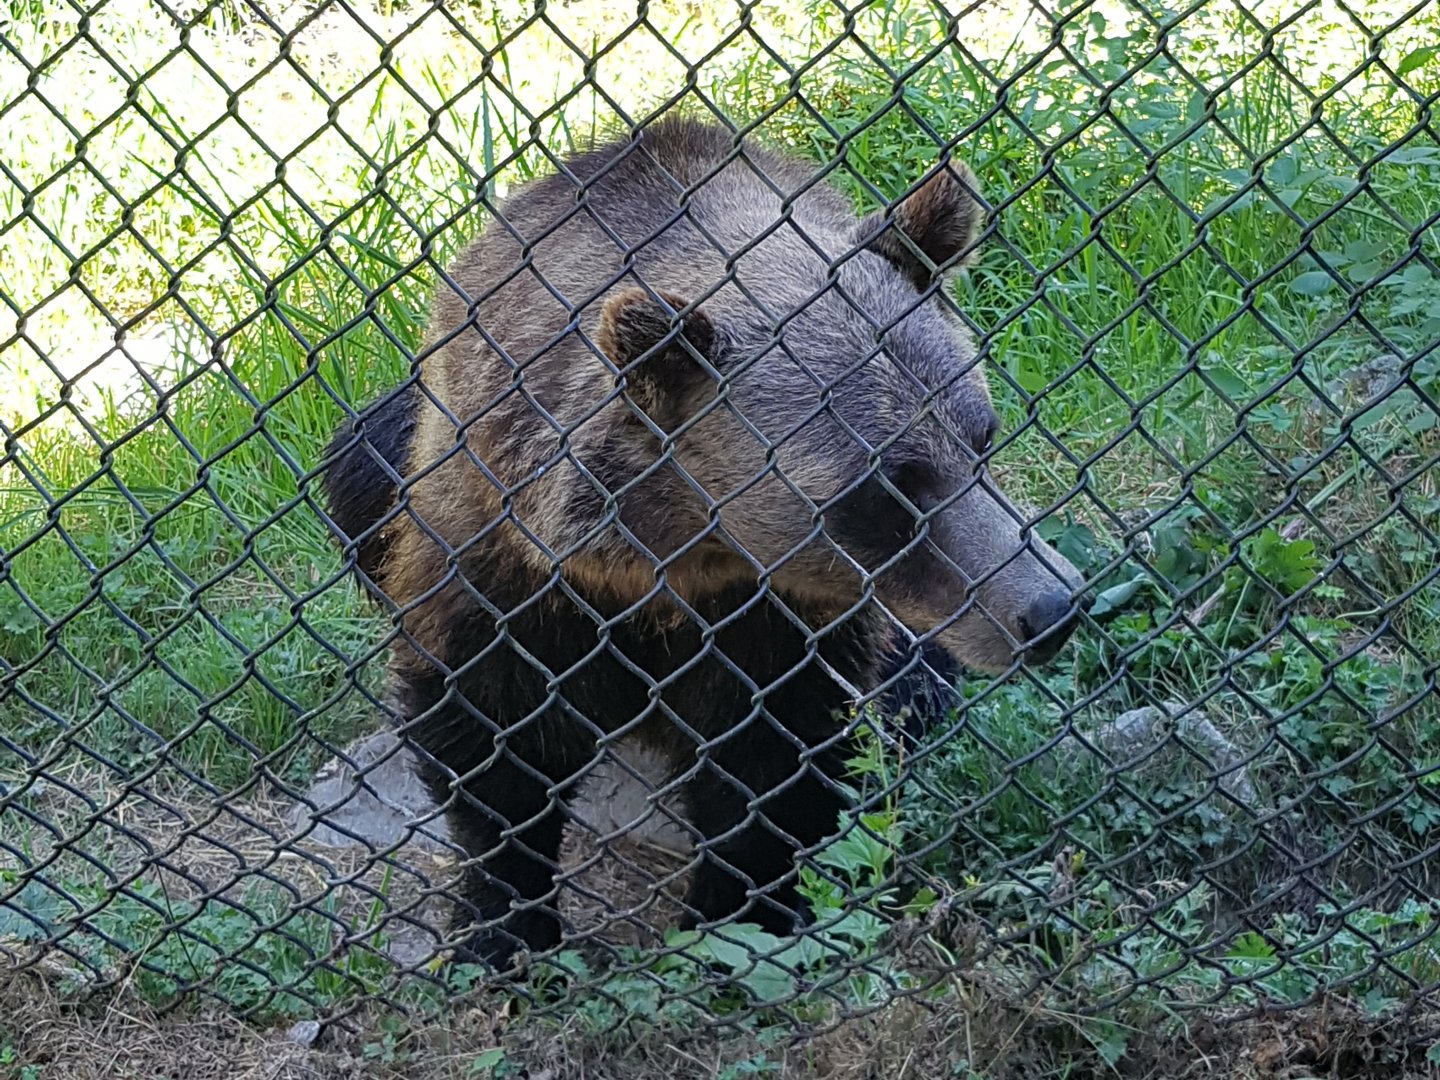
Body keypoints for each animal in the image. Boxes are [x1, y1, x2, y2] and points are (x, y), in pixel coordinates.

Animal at [319, 116, 1084, 969]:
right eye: (889, 486)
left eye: (983, 434)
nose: (1051, 608)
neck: (671, 556)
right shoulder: (498, 546)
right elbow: (491, 731)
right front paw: (504, 930)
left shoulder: (778, 612)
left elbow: (773, 748)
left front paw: (741, 912)